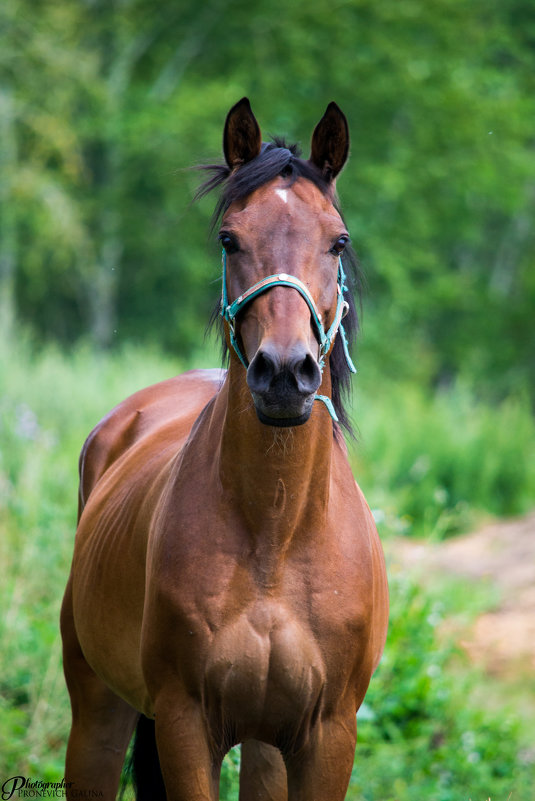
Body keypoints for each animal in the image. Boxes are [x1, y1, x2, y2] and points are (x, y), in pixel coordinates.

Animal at [60, 98, 390, 800]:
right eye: (228, 239)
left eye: (339, 240)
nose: (285, 373)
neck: (276, 532)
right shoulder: (186, 724)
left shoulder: (327, 737)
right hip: (97, 710)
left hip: (266, 747)